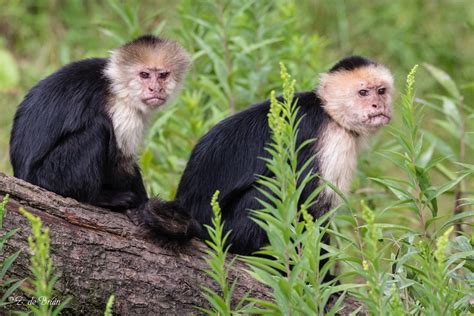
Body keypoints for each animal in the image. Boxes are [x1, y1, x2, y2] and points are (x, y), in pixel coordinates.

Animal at [9, 35, 191, 210]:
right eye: (144, 75)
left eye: (163, 75)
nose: (155, 89)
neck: (118, 87)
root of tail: (22, 175)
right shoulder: (121, 110)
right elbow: (121, 164)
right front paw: (143, 203)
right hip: (50, 175)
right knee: (98, 128)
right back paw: (98, 198)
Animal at [135, 55, 394, 252]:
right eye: (363, 93)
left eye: (381, 91)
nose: (378, 105)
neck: (329, 112)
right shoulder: (333, 141)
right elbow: (312, 208)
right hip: (224, 231)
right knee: (271, 190)